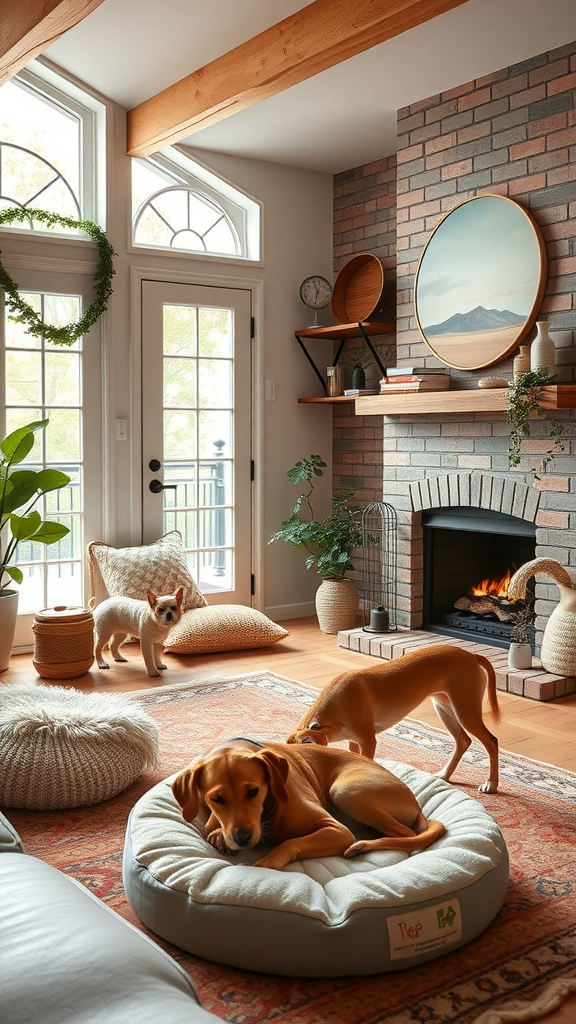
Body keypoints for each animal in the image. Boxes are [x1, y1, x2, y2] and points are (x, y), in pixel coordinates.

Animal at [170, 737, 444, 872]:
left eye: (253, 791)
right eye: (216, 799)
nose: (242, 838)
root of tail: (417, 806)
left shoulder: (336, 830)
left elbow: (292, 842)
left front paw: (271, 860)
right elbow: (212, 823)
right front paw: (218, 831)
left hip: (346, 792)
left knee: (406, 835)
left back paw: (362, 845)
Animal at [284, 643, 498, 794]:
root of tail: (471, 655)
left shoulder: (368, 740)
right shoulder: (353, 743)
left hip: (465, 710)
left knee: (491, 741)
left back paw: (491, 784)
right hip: (444, 707)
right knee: (463, 740)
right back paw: (445, 774)